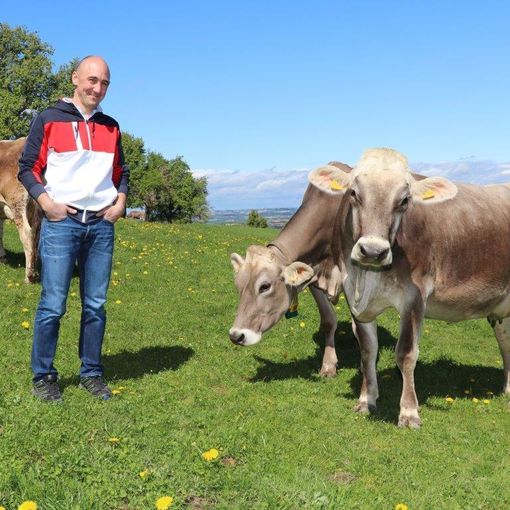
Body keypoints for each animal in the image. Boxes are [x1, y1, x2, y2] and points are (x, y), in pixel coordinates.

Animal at [306, 147, 510, 426]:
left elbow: (406, 354)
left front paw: (409, 412)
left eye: (404, 200)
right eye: (354, 193)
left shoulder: (415, 297)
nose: (373, 251)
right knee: (506, 342)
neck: (366, 279)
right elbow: (367, 349)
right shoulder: (354, 298)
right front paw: (366, 400)